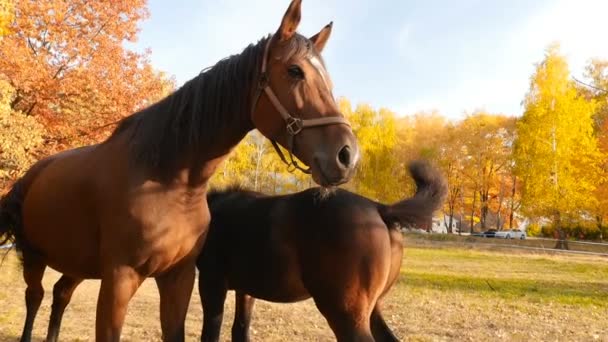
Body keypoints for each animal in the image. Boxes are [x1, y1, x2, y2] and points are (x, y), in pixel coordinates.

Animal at [0, 1, 358, 340]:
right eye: (295, 71)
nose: (347, 155)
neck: (170, 182)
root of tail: (31, 176)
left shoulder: (179, 278)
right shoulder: (119, 278)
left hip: (77, 264)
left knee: (60, 295)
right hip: (34, 256)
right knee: (35, 297)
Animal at [197, 161, 448, 342]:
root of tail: (380, 208)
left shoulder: (211, 284)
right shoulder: (246, 290)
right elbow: (240, 330)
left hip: (346, 314)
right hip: (371, 309)